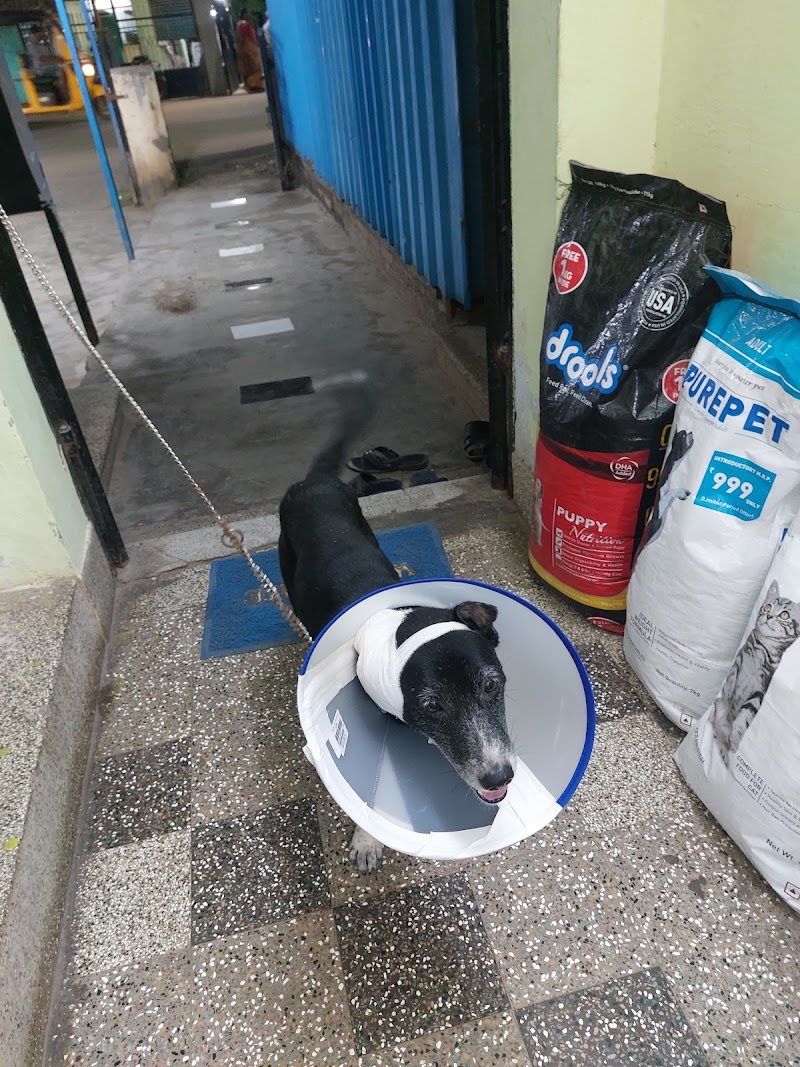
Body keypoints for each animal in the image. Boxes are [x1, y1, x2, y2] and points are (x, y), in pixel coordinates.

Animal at [710, 580, 800, 767]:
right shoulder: (739, 660)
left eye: (784, 615)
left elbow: (745, 716)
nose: (769, 615)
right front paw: (730, 697)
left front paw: (734, 739)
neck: (762, 651)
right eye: (767, 607)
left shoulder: (760, 690)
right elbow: (731, 682)